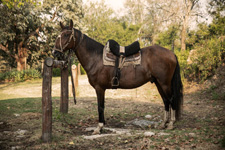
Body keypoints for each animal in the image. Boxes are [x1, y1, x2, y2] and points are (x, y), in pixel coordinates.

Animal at [52, 20, 183, 134]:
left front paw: (99, 127)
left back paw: (171, 124)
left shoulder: (99, 88)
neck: (96, 58)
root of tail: (172, 54)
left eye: (66, 34)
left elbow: (100, 107)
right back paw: (163, 124)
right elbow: (102, 106)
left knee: (172, 99)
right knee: (166, 101)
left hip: (165, 83)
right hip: (158, 82)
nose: (55, 52)